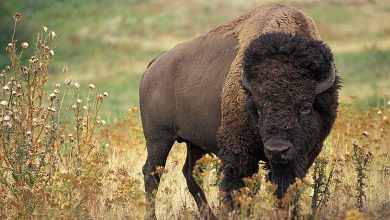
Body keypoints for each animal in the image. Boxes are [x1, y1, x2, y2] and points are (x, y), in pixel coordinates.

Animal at [139, 3, 340, 218]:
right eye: (258, 108)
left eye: (306, 107)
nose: (277, 150)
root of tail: (153, 65)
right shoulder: (239, 155)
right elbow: (238, 190)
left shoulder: (304, 154)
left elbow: (285, 189)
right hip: (159, 138)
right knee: (152, 173)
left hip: (194, 142)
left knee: (191, 174)